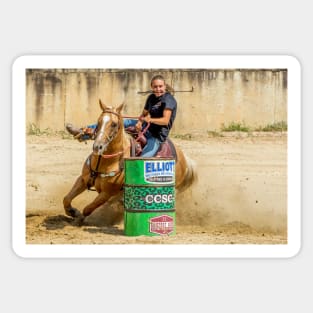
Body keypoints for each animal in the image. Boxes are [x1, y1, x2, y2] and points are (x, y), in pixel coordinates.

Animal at [62, 98, 196, 223]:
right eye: (98, 122)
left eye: (114, 124)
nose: (97, 146)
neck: (107, 162)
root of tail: (185, 159)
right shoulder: (83, 180)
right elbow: (66, 199)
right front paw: (72, 212)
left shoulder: (107, 193)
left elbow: (88, 209)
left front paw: (79, 217)